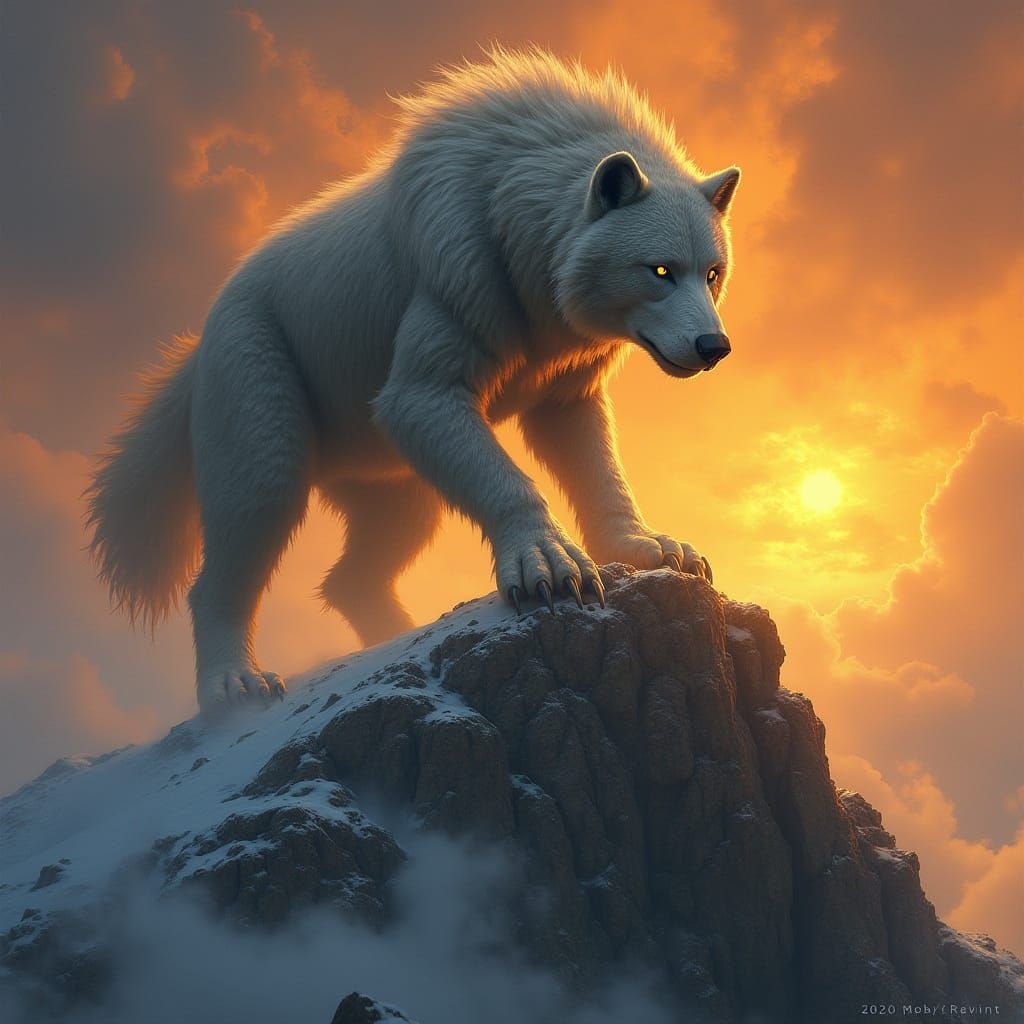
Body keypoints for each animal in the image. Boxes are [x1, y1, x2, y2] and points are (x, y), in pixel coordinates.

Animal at [87, 48, 741, 715]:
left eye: (712, 273)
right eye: (660, 270)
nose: (714, 348)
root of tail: (194, 347)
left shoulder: (565, 393)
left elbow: (602, 478)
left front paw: (650, 549)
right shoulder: (436, 347)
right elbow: (505, 474)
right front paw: (549, 565)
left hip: (396, 483)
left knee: (347, 580)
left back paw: (397, 640)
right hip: (264, 414)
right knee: (227, 565)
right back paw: (235, 684)